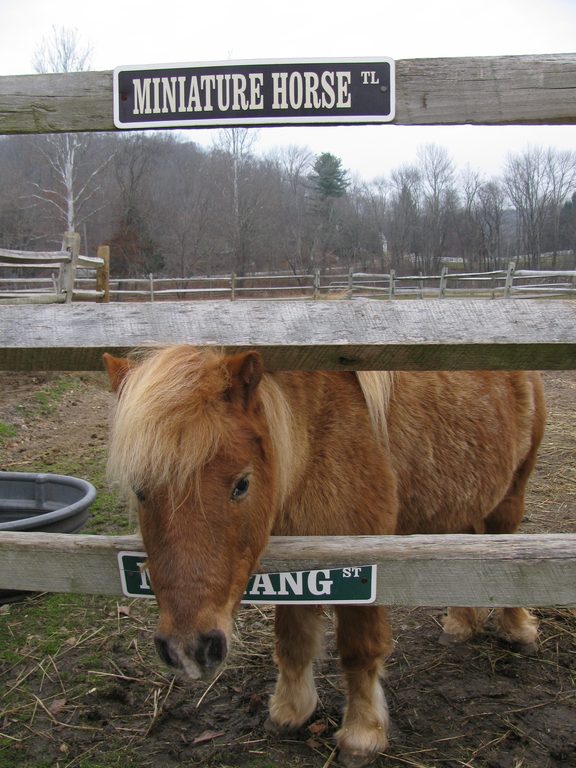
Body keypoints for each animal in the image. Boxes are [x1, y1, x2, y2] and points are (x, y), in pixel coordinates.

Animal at [102, 350, 544, 768]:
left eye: (241, 484)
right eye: (140, 490)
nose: (188, 649)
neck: (318, 443)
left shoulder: (363, 569)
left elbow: (359, 651)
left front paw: (362, 734)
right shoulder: (294, 565)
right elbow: (293, 641)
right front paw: (290, 710)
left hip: (511, 496)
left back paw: (518, 628)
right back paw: (461, 622)